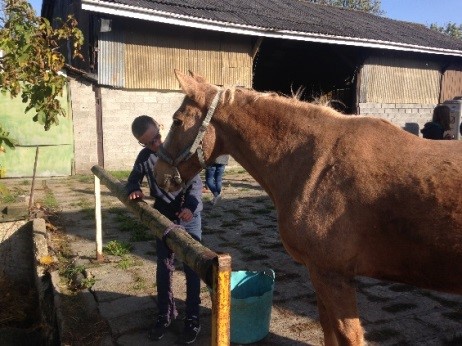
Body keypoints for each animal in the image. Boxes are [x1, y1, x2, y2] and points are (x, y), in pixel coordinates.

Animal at [152, 70, 462, 346]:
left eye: (177, 121)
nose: (159, 174)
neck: (320, 162)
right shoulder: (319, 274)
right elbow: (329, 332)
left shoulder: (332, 275)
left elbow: (349, 337)